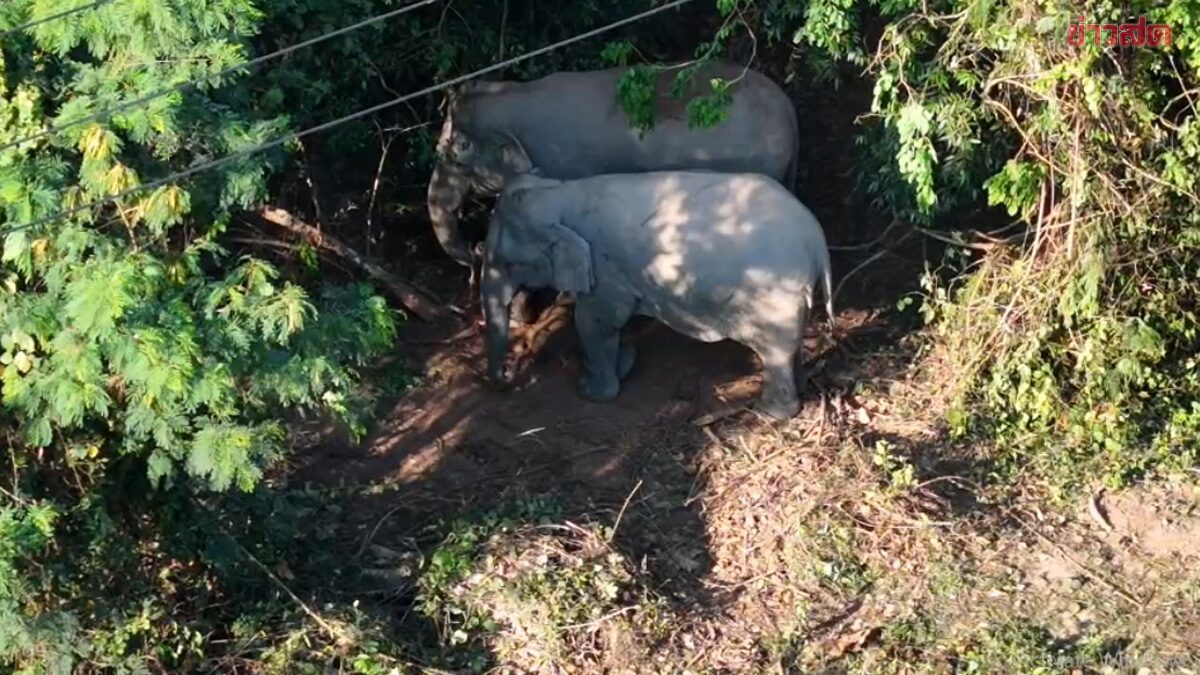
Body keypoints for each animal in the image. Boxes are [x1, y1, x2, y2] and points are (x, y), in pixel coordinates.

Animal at [479, 170, 834, 420]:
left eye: (504, 261)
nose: (507, 378)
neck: (560, 192)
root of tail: (817, 240)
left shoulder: (605, 269)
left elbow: (594, 321)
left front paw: (592, 392)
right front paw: (627, 360)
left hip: (775, 297)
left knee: (776, 351)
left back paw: (771, 413)